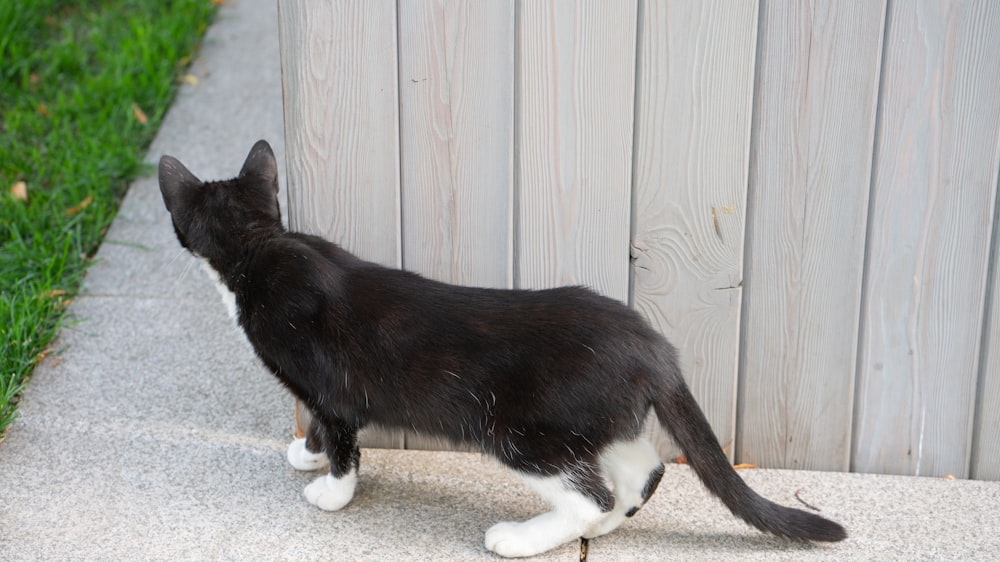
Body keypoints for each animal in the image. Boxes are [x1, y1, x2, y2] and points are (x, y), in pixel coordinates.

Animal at [156, 141, 844, 556]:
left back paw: (520, 537)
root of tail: (654, 347)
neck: (261, 248)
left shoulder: (332, 389)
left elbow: (342, 437)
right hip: (592, 421)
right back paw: (602, 524)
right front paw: (307, 454)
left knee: (589, 491)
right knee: (640, 471)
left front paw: (328, 488)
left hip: (517, 429)